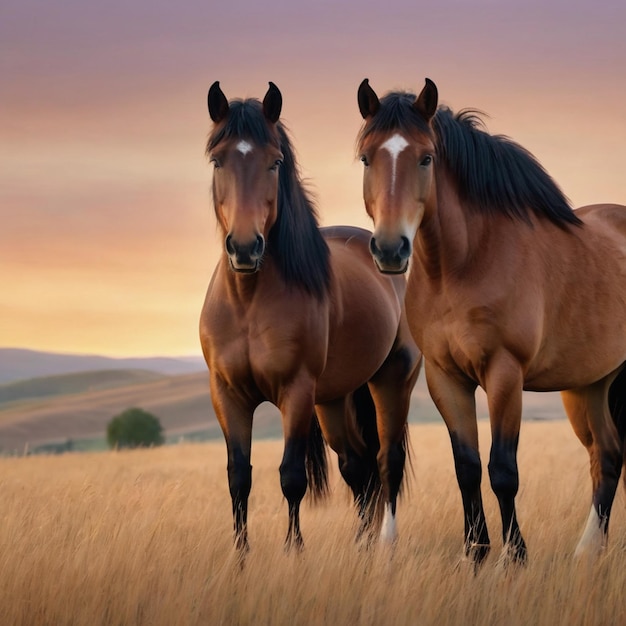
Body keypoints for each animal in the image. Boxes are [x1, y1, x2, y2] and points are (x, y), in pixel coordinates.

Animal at [199, 81, 420, 552]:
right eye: (217, 160)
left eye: (275, 161)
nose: (244, 247)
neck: (249, 301)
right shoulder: (227, 394)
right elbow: (238, 478)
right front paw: (240, 558)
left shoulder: (295, 391)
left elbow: (291, 477)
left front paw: (293, 553)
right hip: (333, 400)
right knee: (357, 465)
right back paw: (361, 546)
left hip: (391, 380)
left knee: (385, 460)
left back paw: (381, 545)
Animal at [354, 75, 624, 564]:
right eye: (367, 157)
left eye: (426, 157)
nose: (389, 249)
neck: (464, 264)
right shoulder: (445, 377)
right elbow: (467, 465)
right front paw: (475, 551)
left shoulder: (504, 373)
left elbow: (502, 469)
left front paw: (514, 556)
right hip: (590, 384)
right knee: (608, 455)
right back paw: (587, 552)